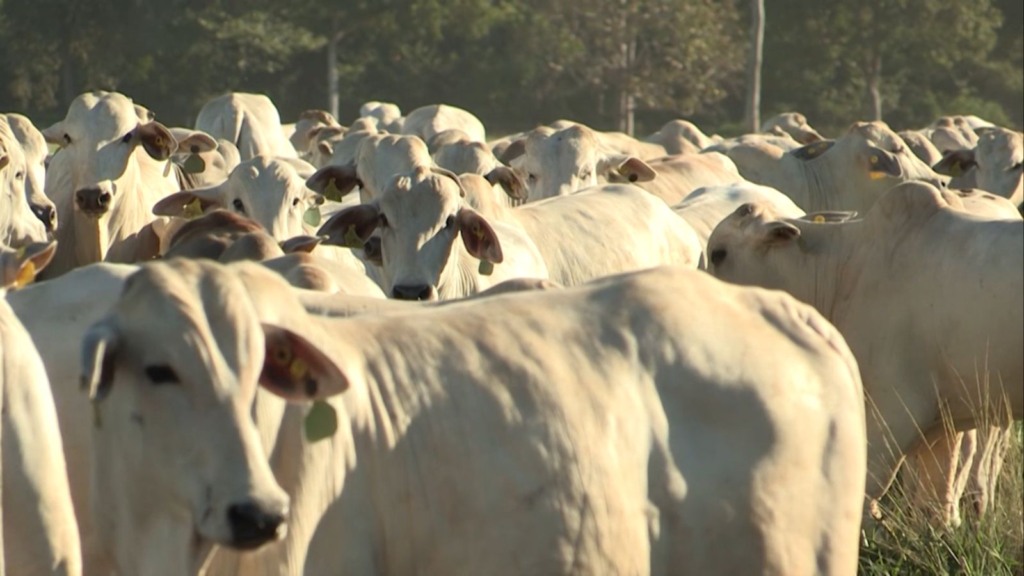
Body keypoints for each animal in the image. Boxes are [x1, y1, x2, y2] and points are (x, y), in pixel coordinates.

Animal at [704, 181, 1024, 522]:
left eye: (718, 254)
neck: (845, 270)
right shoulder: (945, 420)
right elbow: (937, 499)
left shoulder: (899, 408)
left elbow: (867, 484)